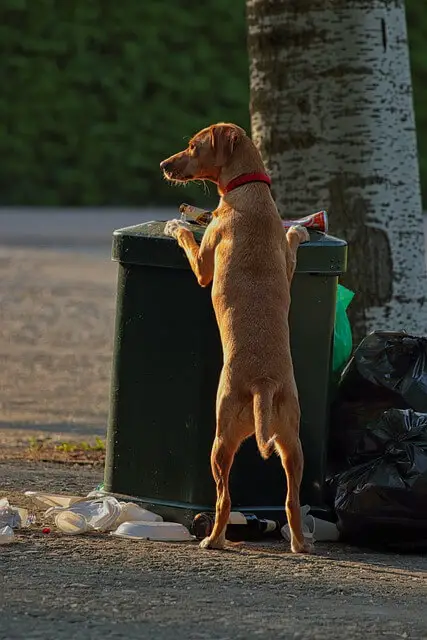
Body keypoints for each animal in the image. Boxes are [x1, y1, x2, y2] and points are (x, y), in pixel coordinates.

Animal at [160, 125, 310, 556]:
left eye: (193, 146)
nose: (163, 164)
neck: (250, 193)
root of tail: (263, 383)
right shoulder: (285, 262)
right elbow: (290, 248)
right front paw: (298, 228)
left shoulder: (204, 264)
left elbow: (190, 244)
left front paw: (176, 226)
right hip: (292, 443)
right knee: (291, 500)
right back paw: (300, 545)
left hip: (221, 439)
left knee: (224, 498)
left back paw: (213, 539)